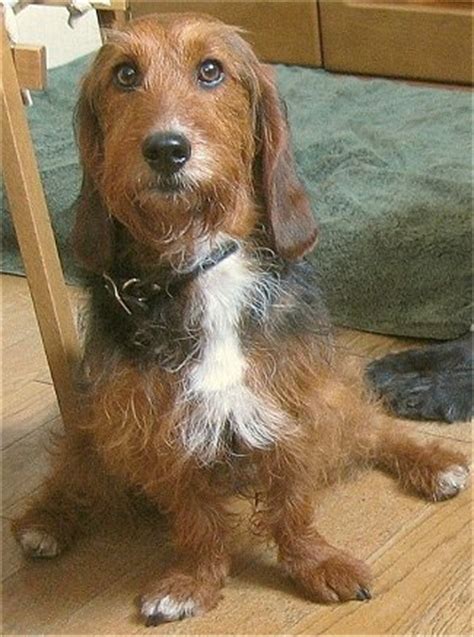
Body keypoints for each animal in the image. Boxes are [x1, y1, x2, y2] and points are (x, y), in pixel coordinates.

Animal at [12, 14, 470, 628]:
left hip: (335, 398)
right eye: (125, 74)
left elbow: (293, 507)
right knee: (77, 469)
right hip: (93, 417)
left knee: (372, 426)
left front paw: (315, 562)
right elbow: (195, 518)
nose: (166, 149)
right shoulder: (156, 426)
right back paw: (48, 519)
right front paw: (195, 581)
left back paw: (433, 461)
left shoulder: (295, 407)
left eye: (211, 70)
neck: (201, 257)